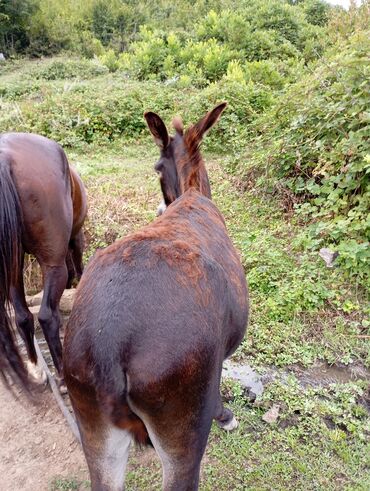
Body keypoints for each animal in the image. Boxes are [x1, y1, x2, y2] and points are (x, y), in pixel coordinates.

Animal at [0, 132, 87, 388]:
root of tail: (6, 157)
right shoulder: (76, 237)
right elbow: (79, 263)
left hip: (12, 265)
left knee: (22, 317)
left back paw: (36, 369)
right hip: (52, 263)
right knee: (47, 316)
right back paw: (61, 374)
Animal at [63, 102, 249, 490]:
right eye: (156, 167)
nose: (161, 208)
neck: (193, 193)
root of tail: (108, 351)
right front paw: (226, 415)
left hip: (93, 422)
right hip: (182, 424)